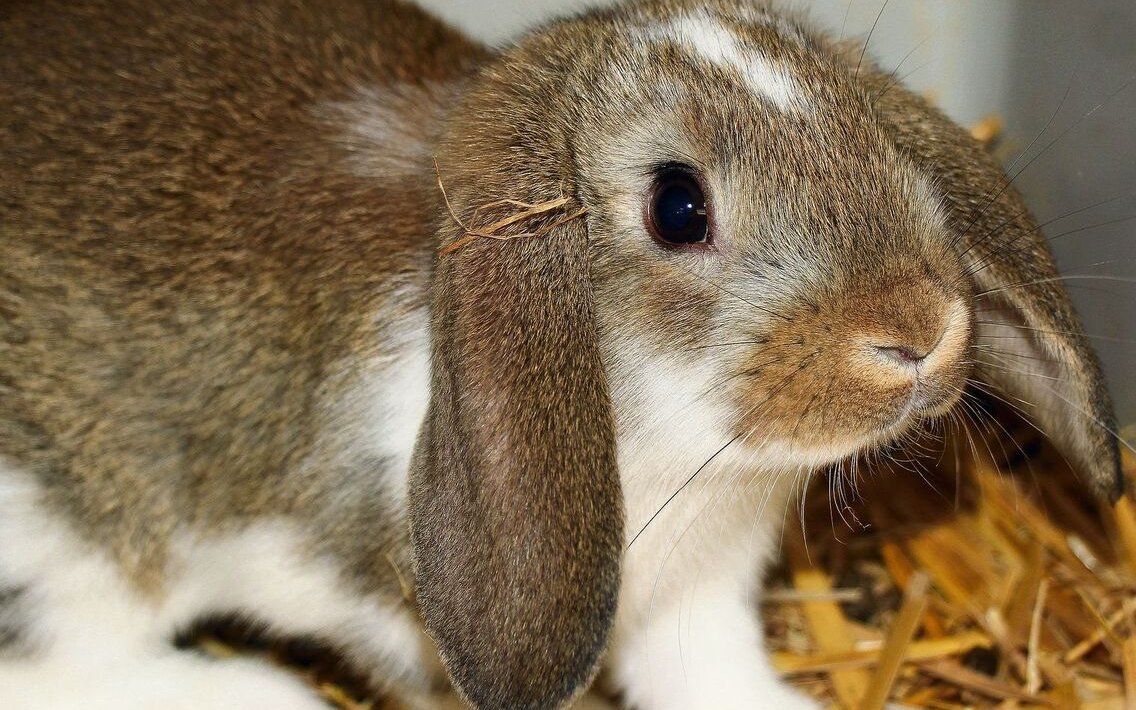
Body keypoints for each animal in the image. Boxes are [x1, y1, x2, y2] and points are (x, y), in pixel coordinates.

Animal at [0, 0, 1122, 704]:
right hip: (79, 554)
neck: (662, 427)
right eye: (677, 207)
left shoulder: (699, 603)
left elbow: (713, 680)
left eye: (874, 140)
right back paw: (260, 693)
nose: (921, 331)